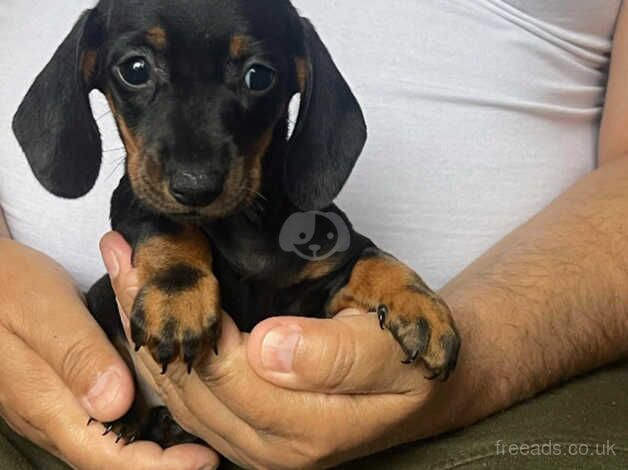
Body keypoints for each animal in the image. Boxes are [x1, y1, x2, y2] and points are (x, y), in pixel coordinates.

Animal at [12, 0, 458, 448]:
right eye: (134, 69)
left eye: (258, 76)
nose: (195, 186)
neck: (244, 225)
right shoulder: (137, 200)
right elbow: (167, 225)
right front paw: (179, 299)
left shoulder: (320, 289)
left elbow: (373, 258)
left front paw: (422, 306)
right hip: (103, 295)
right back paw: (135, 416)